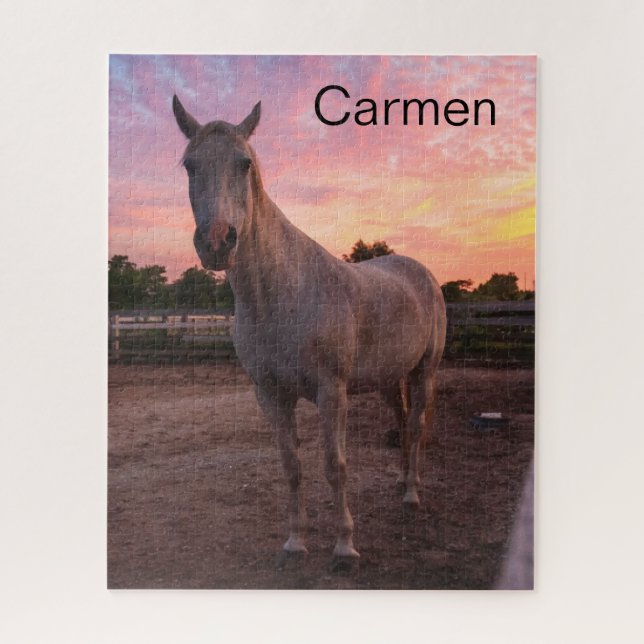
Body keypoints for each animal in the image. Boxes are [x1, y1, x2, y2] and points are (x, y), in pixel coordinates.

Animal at [173, 95, 446, 570]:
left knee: (414, 427)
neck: (283, 294)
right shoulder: (270, 394)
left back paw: (412, 494)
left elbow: (335, 465)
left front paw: (345, 547)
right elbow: (291, 466)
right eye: (190, 165)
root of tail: (420, 272)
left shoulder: (331, 391)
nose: (217, 242)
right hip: (389, 378)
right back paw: (400, 482)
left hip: (424, 372)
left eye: (245, 163)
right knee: (400, 421)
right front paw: (296, 541)